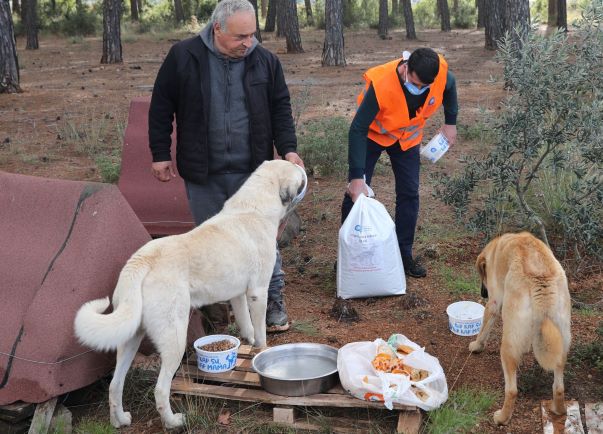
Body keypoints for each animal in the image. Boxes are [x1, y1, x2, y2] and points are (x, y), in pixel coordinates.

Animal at [74, 161, 306, 428]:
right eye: (299, 174)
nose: (303, 166)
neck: (253, 207)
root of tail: (142, 261)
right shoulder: (258, 292)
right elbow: (260, 333)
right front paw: (262, 352)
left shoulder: (238, 295)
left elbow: (246, 326)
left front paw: (248, 346)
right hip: (174, 339)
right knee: (160, 390)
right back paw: (173, 422)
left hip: (130, 340)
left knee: (114, 385)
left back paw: (120, 420)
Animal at [470, 232, 572, 426]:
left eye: (482, 276)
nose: (482, 294)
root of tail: (541, 281)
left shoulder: (494, 303)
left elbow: (484, 327)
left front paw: (477, 346)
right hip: (562, 341)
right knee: (559, 386)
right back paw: (558, 409)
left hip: (508, 346)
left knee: (511, 391)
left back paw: (502, 418)